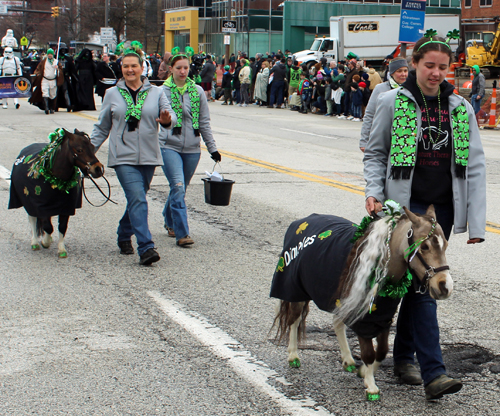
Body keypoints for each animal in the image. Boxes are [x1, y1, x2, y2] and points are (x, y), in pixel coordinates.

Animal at [8, 128, 104, 256]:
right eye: (79, 149)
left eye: (93, 147)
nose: (98, 169)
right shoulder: (40, 206)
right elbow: (48, 226)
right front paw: (45, 242)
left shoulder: (66, 207)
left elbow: (62, 227)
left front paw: (61, 249)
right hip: (27, 200)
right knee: (32, 218)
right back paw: (34, 242)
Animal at [272, 206, 452, 402]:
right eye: (425, 246)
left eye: (445, 245)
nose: (445, 286)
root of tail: (302, 221)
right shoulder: (362, 317)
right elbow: (369, 353)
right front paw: (371, 387)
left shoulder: (383, 317)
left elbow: (382, 351)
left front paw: (364, 372)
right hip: (297, 290)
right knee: (294, 320)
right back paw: (293, 356)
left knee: (336, 323)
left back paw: (348, 361)